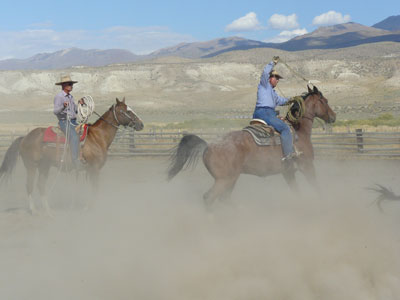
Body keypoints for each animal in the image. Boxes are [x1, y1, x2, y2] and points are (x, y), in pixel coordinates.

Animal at [0, 98, 144, 213]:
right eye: (126, 111)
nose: (141, 124)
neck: (98, 137)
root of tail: (25, 137)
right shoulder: (94, 168)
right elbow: (95, 188)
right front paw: (90, 208)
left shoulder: (91, 170)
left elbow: (93, 188)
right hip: (31, 166)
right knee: (29, 185)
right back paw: (33, 210)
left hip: (44, 166)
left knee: (41, 185)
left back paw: (48, 210)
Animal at [169, 85, 338, 205]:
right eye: (325, 101)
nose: (333, 117)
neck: (298, 132)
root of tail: (208, 146)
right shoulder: (307, 166)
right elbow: (317, 187)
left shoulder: (288, 172)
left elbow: (296, 191)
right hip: (223, 180)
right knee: (209, 198)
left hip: (231, 179)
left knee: (224, 199)